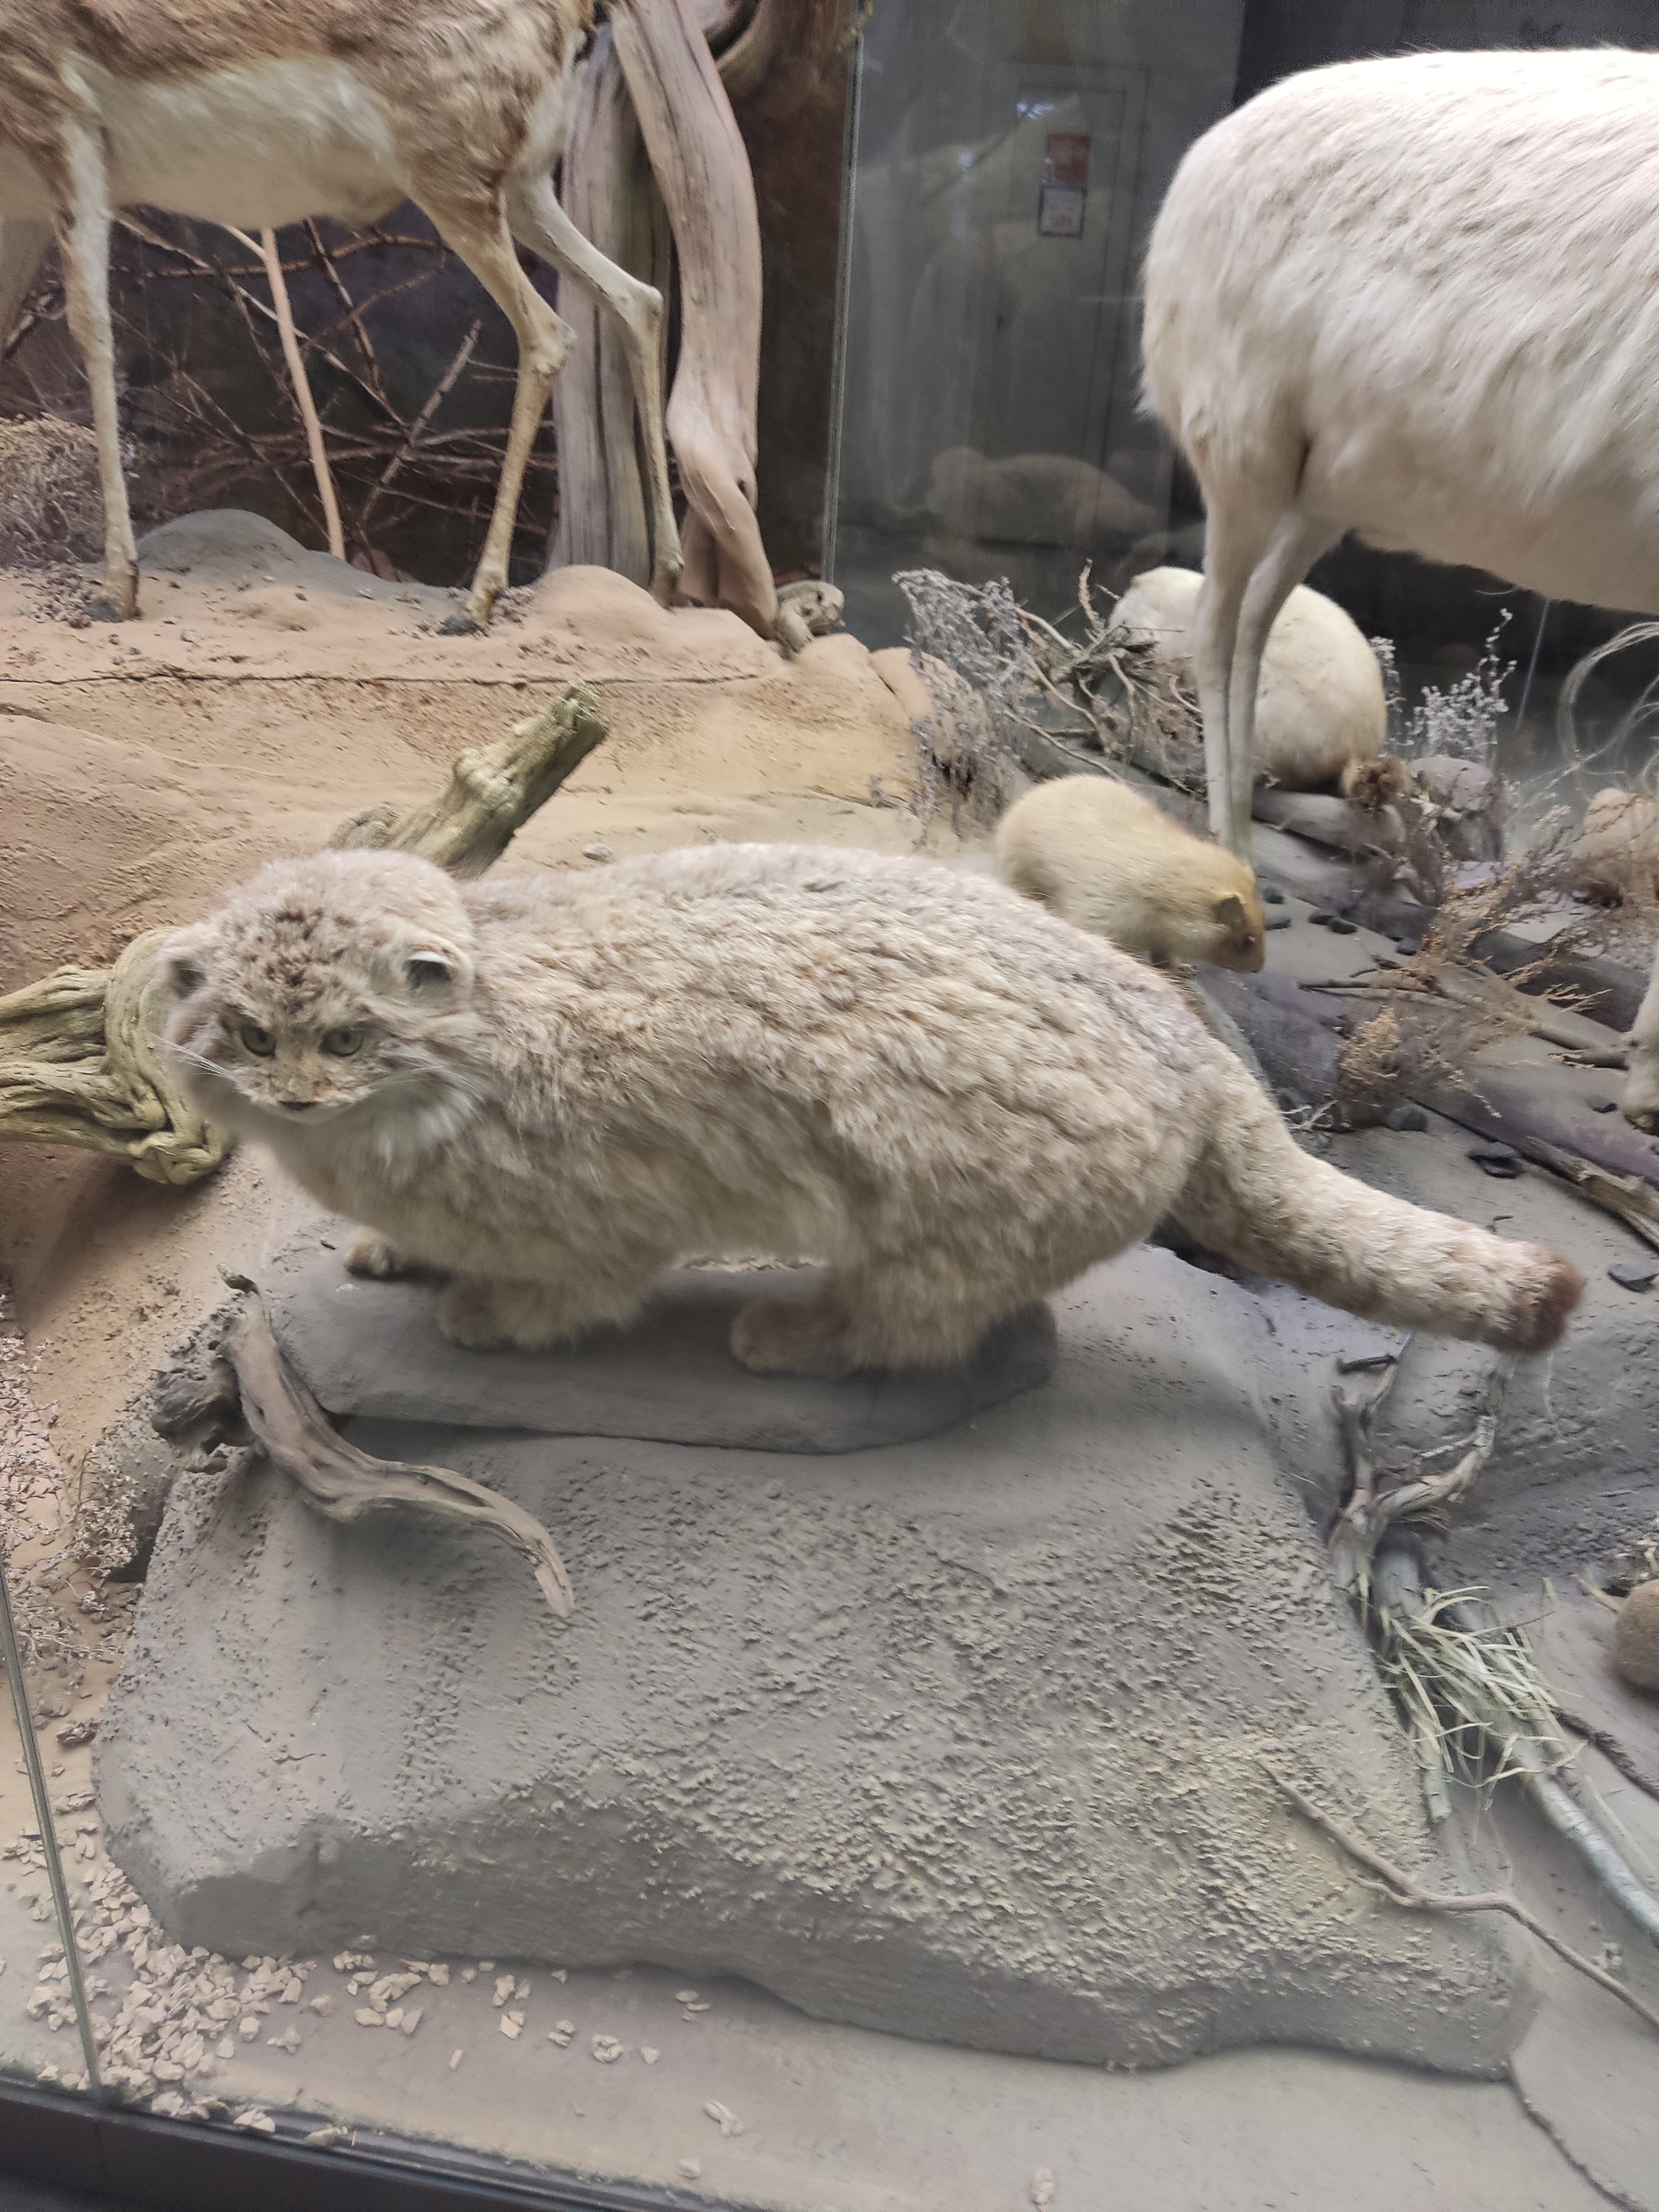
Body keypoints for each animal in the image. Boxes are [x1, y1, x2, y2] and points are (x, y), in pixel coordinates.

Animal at [165, 840, 1584, 1371]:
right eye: (250, 1033)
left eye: (349, 1036)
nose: (293, 1093)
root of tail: (1192, 1045)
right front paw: (391, 1248)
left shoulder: (603, 1221)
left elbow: (579, 1288)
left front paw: (483, 1310)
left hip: (948, 1236)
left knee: (913, 1327)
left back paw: (789, 1330)